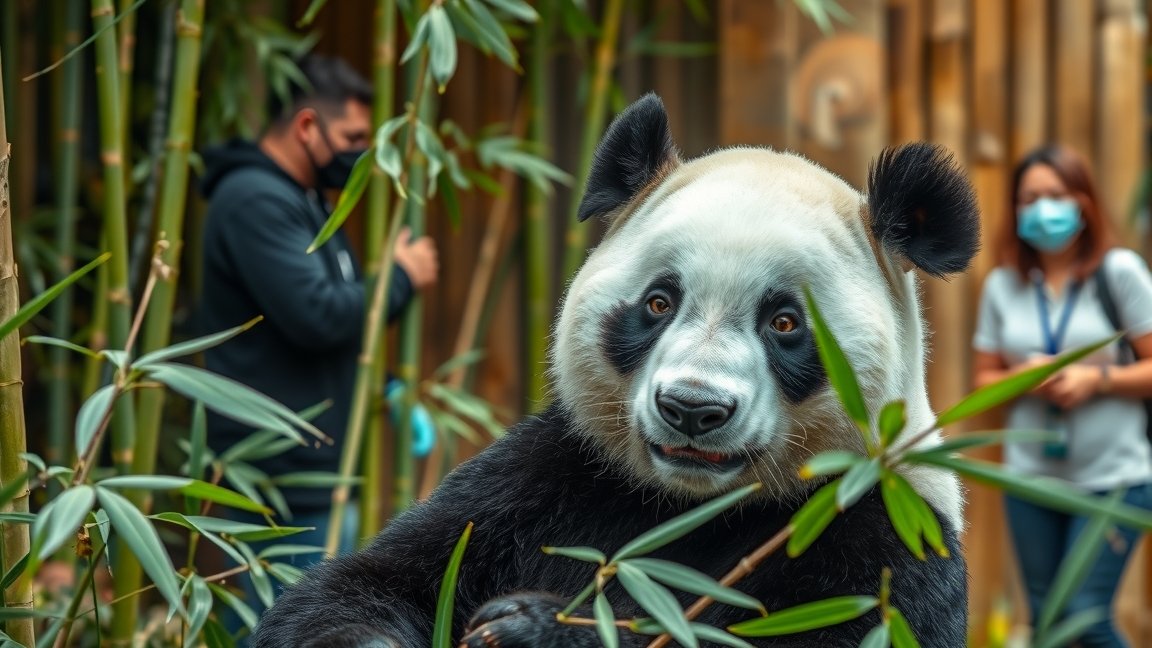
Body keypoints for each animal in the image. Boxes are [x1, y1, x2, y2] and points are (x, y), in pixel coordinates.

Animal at [253, 94, 977, 648]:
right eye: (659, 302)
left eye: (784, 324)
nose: (692, 408)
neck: (691, 504)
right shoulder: (548, 476)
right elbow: (368, 582)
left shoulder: (883, 534)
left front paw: (534, 626)